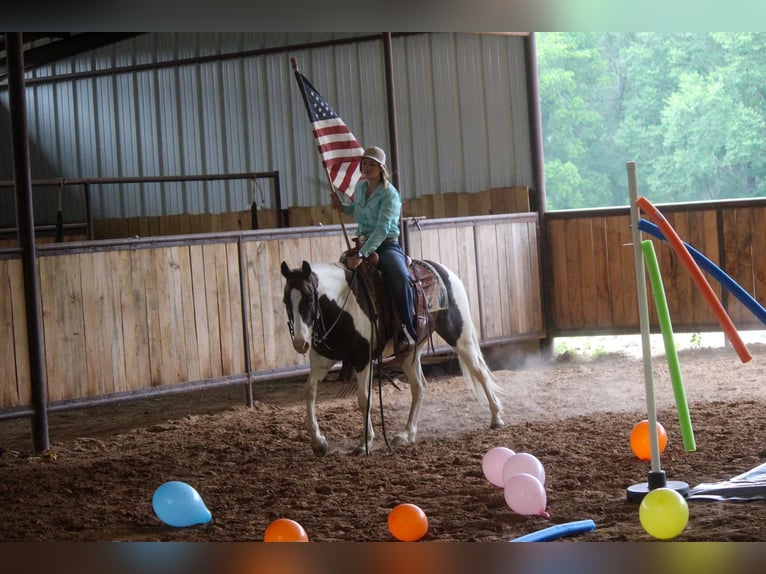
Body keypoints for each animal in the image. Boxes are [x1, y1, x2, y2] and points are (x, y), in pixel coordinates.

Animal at [280, 260, 508, 460]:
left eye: (309, 299)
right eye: (285, 301)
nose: (300, 343)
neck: (343, 306)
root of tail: (443, 270)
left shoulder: (363, 359)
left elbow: (363, 399)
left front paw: (364, 443)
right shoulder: (322, 358)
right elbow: (309, 391)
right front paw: (318, 442)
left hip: (459, 335)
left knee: (479, 370)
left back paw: (496, 418)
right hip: (410, 352)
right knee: (419, 387)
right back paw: (407, 434)